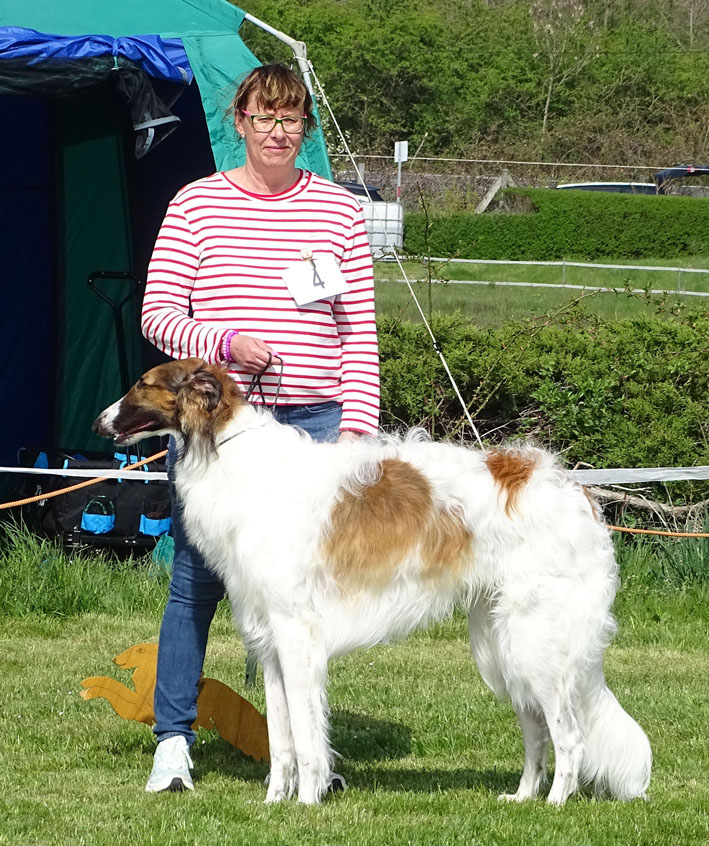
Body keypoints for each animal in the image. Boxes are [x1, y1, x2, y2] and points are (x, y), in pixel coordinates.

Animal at [93, 357, 651, 805]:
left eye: (142, 384)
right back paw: (522, 798)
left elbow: (306, 735)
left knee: (568, 737)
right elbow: (280, 740)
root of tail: (579, 493)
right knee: (537, 735)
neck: (235, 458)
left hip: (535, 643)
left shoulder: (296, 635)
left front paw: (306, 804)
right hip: (502, 647)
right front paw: (274, 803)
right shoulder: (269, 641)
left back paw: (555, 804)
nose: (99, 422)